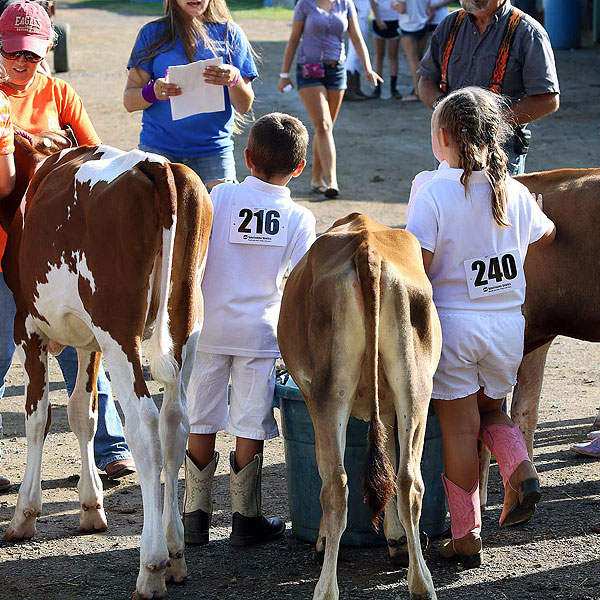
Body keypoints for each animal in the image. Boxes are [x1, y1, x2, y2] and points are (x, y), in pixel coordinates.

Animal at [1, 136, 212, 600]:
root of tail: (157, 164)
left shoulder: (28, 326)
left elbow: (38, 417)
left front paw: (25, 513)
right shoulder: (88, 341)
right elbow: (83, 414)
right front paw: (91, 507)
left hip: (119, 331)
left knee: (146, 427)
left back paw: (151, 567)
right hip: (186, 320)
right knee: (175, 423)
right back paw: (175, 553)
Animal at [278, 212, 440, 600]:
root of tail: (367, 245)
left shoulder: (309, 395)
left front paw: (322, 540)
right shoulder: (393, 405)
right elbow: (392, 459)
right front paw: (396, 541)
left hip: (329, 391)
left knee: (335, 486)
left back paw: (325, 589)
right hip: (414, 384)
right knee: (408, 480)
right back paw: (421, 583)